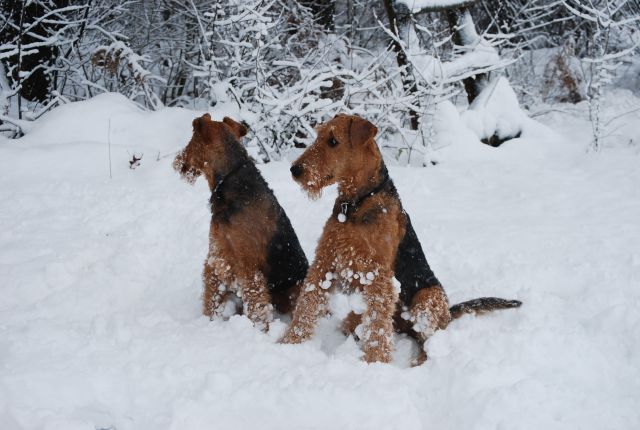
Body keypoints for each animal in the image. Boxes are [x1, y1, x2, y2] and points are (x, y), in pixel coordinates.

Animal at [172, 114, 308, 330]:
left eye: (191, 141)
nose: (178, 161)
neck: (230, 180)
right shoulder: (217, 256)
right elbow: (212, 298)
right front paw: (209, 320)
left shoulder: (248, 268)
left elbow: (256, 308)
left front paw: (260, 331)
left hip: (294, 289)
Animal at [282, 114, 524, 362]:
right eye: (318, 136)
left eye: (333, 141)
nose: (294, 169)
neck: (357, 203)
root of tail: (449, 313)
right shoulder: (325, 261)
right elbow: (308, 303)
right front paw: (291, 342)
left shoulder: (377, 273)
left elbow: (377, 323)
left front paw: (375, 361)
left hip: (426, 298)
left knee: (427, 342)